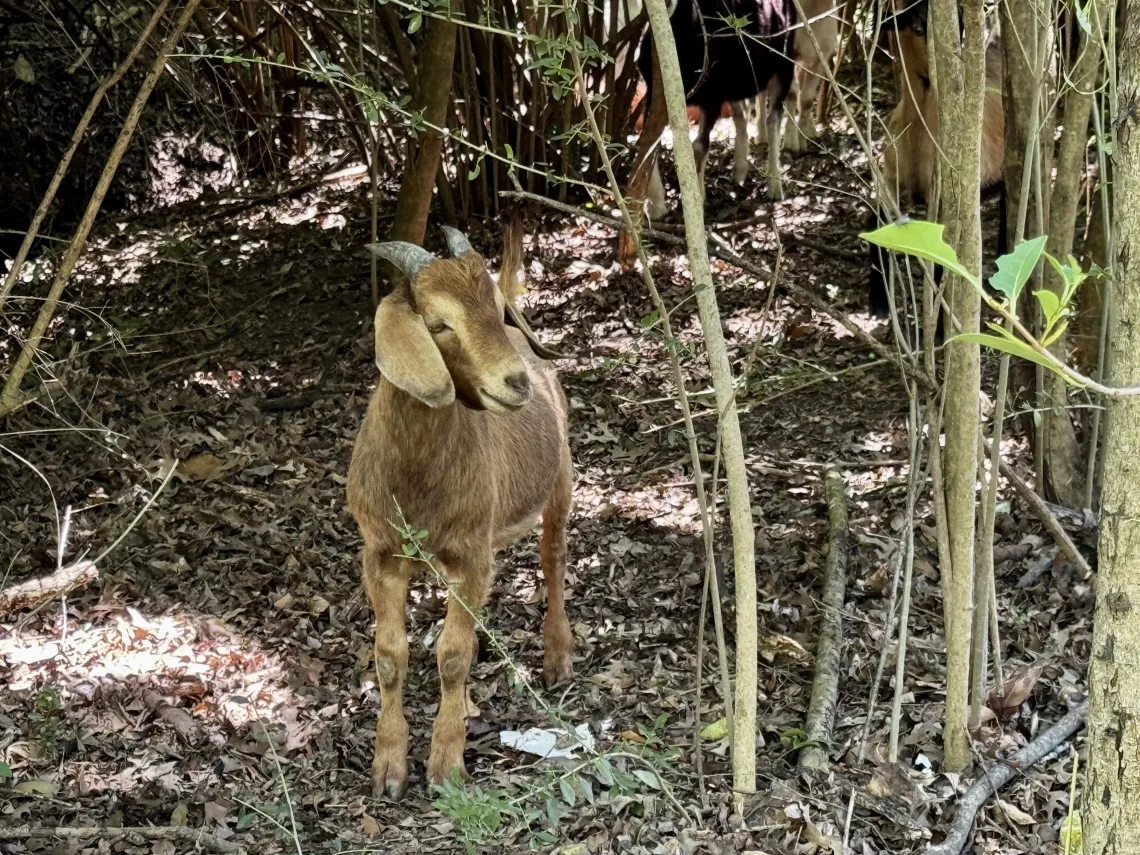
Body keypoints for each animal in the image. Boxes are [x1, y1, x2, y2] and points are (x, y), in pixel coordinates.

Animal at [347, 227, 574, 799]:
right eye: (438, 324)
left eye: (495, 308)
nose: (516, 383)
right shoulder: (379, 553)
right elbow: (390, 656)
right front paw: (388, 769)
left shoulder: (471, 553)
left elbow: (451, 656)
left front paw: (446, 765)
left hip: (560, 479)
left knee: (554, 557)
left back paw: (558, 655)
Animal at [639, 0, 797, 217]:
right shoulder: (654, 93)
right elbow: (649, 143)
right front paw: (656, 207)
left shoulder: (712, 97)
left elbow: (699, 146)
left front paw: (696, 199)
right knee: (741, 115)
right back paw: (740, 171)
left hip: (784, 63)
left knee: (773, 118)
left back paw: (774, 186)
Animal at [867, 0, 1005, 316]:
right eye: (916, 25)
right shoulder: (889, 179)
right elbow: (876, 221)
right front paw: (878, 301)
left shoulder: (945, 200)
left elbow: (946, 262)